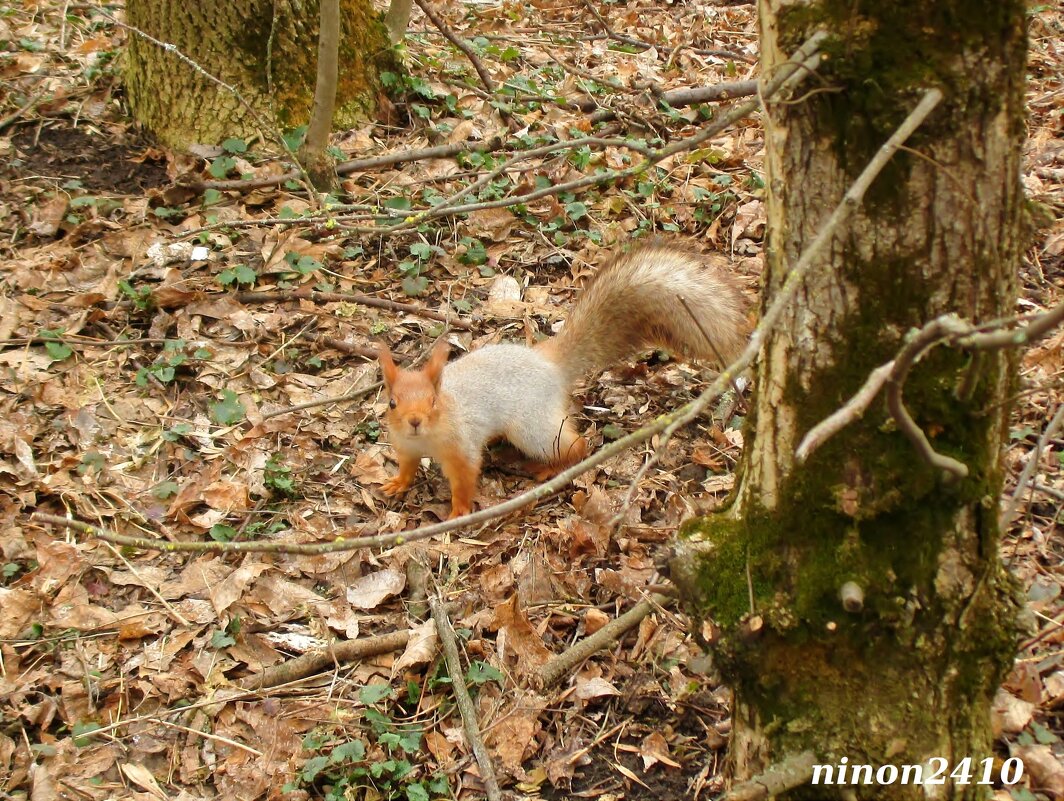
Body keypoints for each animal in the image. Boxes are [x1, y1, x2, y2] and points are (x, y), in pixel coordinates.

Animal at [374, 243, 749, 519]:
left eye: (433, 401)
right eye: (391, 402)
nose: (414, 421)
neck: (427, 439)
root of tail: (547, 362)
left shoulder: (461, 447)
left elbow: (466, 479)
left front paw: (459, 511)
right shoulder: (404, 445)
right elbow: (407, 466)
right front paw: (397, 483)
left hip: (533, 427)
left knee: (577, 446)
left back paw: (549, 469)